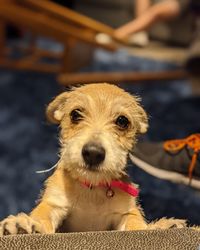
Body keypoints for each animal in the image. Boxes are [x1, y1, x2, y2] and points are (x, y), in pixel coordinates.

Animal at [0, 83, 186, 234]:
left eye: (122, 121)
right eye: (75, 114)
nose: (93, 153)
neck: (92, 189)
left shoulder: (126, 212)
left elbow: (136, 224)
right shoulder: (53, 203)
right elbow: (42, 217)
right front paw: (22, 224)